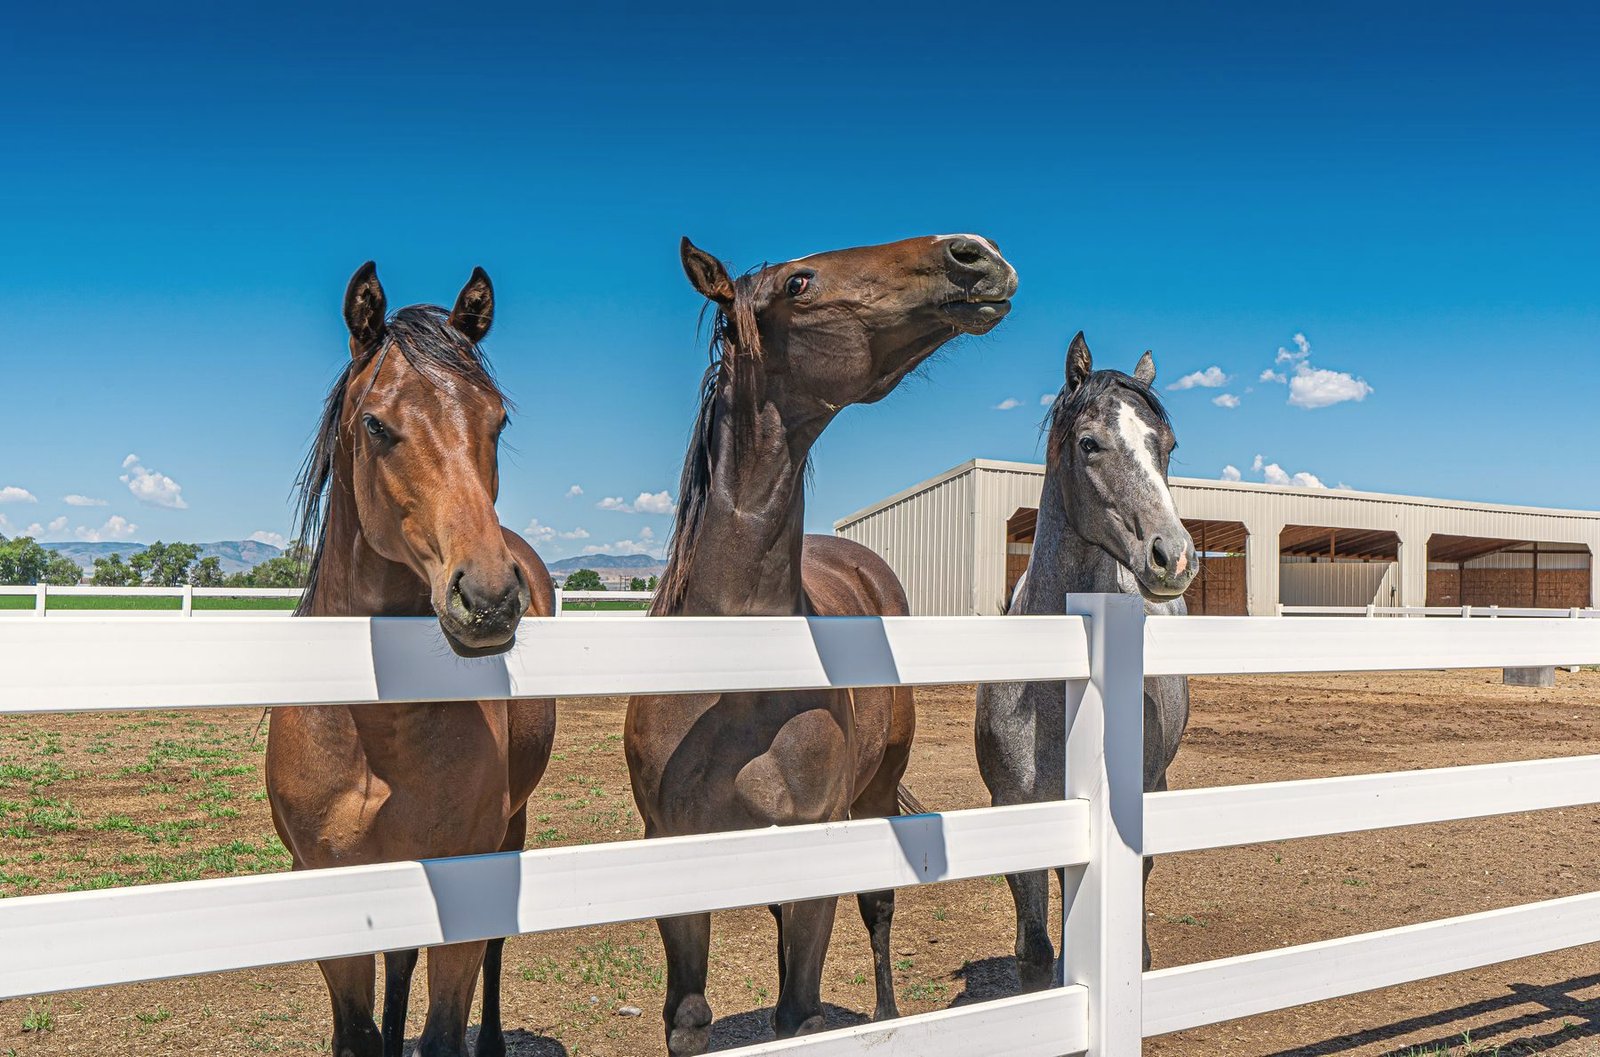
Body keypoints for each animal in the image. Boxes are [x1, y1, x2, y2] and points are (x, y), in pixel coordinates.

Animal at [265, 263, 558, 1057]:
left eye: (497, 421)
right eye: (376, 423)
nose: (489, 598)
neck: (376, 727)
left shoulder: (463, 874)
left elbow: (445, 1024)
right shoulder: (333, 890)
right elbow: (360, 1032)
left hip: (511, 828)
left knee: (493, 950)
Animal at [626, 234, 1018, 1055]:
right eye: (799, 283)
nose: (974, 254)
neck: (732, 693)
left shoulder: (819, 843)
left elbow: (801, 1016)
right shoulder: (673, 855)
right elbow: (689, 1019)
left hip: (872, 798)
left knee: (877, 909)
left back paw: (890, 1015)